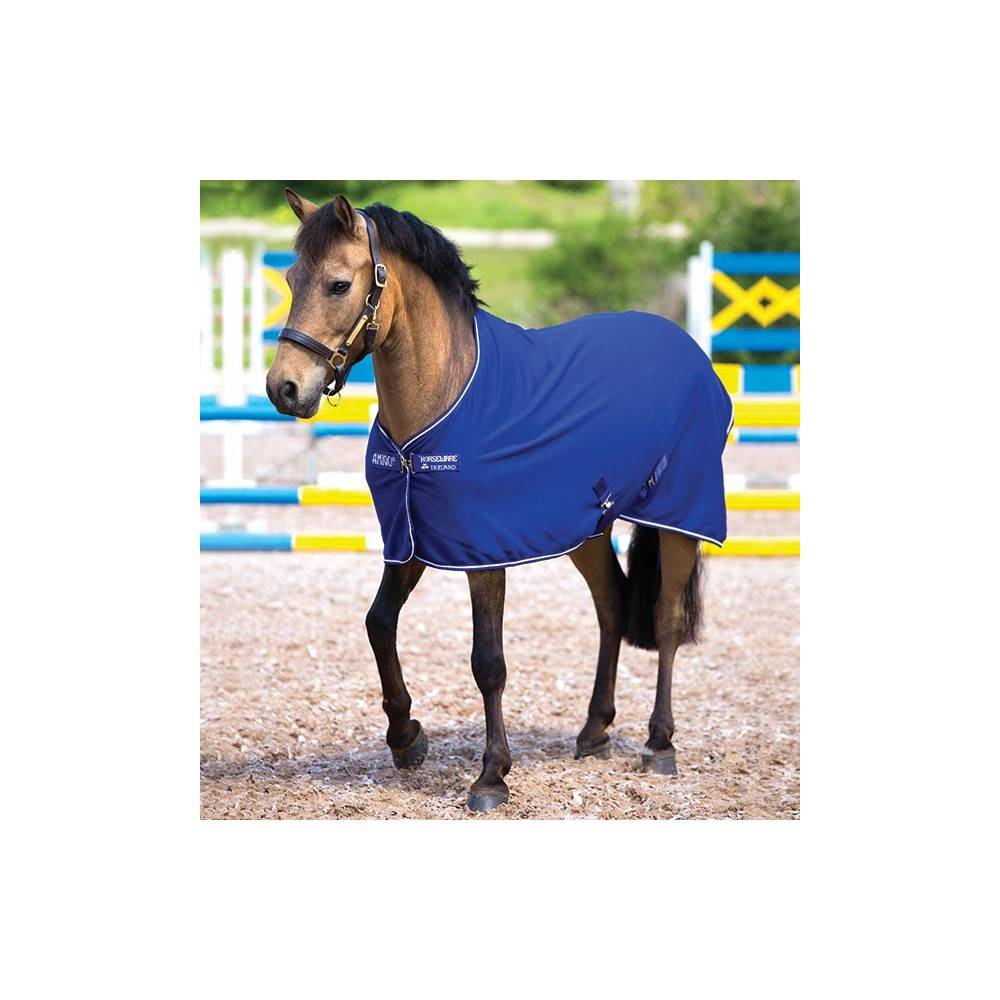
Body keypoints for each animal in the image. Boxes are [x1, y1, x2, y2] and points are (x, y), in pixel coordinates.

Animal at [266, 189, 732, 812]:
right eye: (292, 279)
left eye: (339, 284)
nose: (284, 389)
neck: (445, 394)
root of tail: (687, 348)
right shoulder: (410, 538)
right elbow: (378, 623)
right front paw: (406, 738)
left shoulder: (484, 554)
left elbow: (487, 662)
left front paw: (491, 775)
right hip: (588, 528)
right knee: (611, 604)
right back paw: (595, 730)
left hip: (678, 519)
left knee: (665, 621)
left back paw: (659, 744)